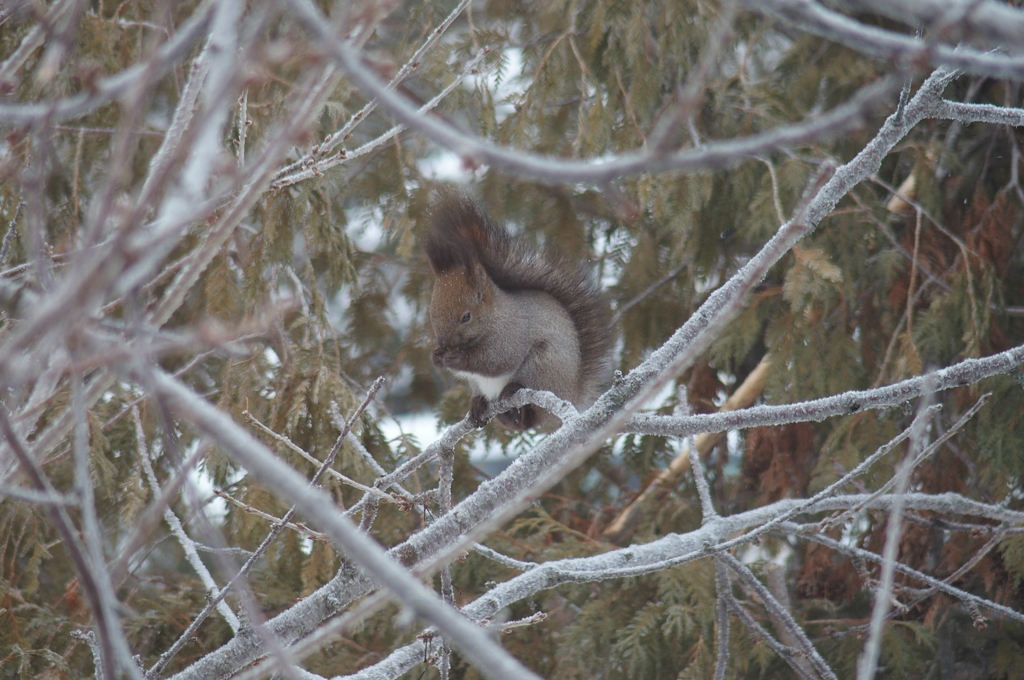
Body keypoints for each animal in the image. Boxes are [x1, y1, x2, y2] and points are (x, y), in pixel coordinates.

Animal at [421, 188, 610, 428]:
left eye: (466, 317)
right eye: (432, 315)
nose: (444, 344)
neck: (495, 317)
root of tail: (571, 394)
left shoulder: (512, 333)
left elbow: (499, 359)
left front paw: (457, 359)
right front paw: (436, 357)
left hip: (542, 367)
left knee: (530, 414)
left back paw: (514, 391)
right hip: (481, 385)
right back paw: (480, 404)